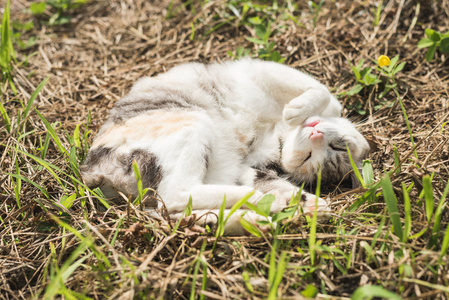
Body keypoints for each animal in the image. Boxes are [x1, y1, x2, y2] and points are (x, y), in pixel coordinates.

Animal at [80, 58, 368, 236]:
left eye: (330, 150)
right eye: (337, 146)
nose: (317, 133)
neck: (277, 134)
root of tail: (90, 173)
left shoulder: (250, 168)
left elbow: (272, 180)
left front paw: (305, 202)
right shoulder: (263, 72)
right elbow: (321, 90)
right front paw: (296, 109)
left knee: (175, 204)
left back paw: (267, 210)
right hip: (193, 121)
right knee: (175, 199)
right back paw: (266, 204)